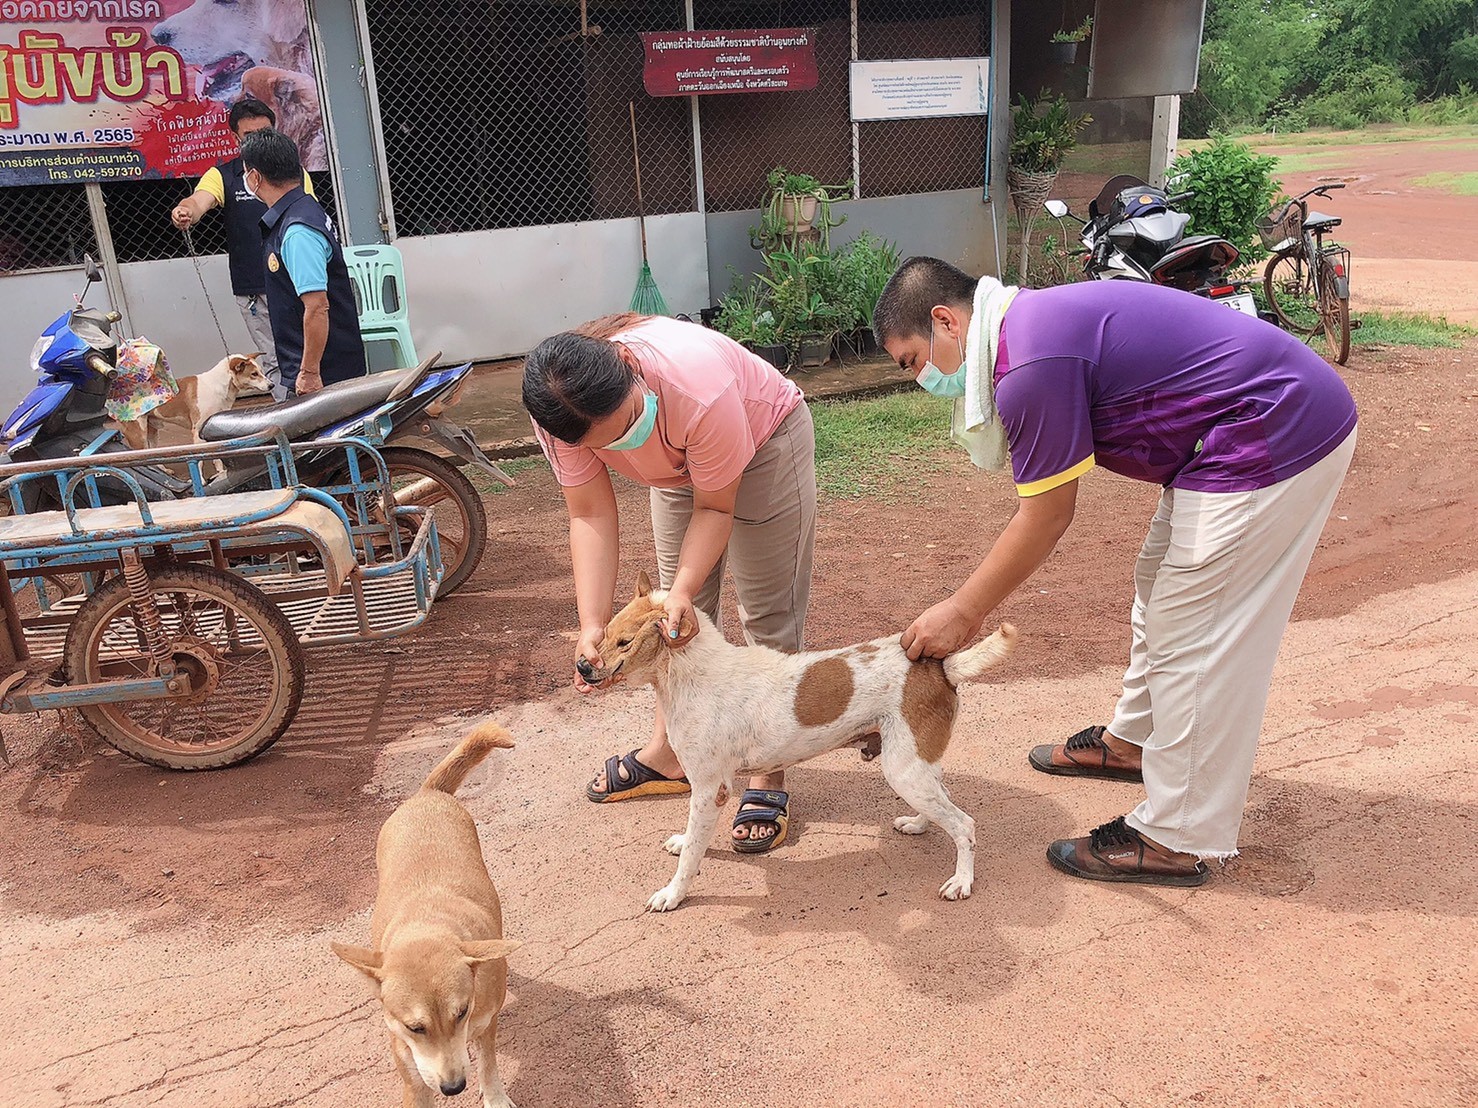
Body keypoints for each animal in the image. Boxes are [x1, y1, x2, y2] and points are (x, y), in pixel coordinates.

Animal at [120, 353, 272, 451]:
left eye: (261, 371)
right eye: (254, 374)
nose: (272, 385)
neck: (219, 386)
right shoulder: (198, 430)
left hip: (152, 432)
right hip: (139, 436)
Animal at [333, 722, 521, 1108]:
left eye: (461, 1012)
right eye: (415, 1028)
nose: (454, 1087)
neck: (427, 923)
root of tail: (427, 794)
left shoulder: (485, 1021)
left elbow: (488, 1062)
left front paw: (494, 1095)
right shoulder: (410, 1065)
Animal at [580, 573, 1018, 912]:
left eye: (625, 642)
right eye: (605, 634)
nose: (583, 665)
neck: (692, 675)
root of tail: (941, 667)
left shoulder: (711, 790)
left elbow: (690, 860)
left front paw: (673, 893)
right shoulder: (703, 791)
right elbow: (692, 840)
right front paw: (685, 840)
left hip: (904, 771)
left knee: (965, 824)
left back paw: (961, 881)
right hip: (917, 765)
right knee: (944, 801)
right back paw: (918, 823)